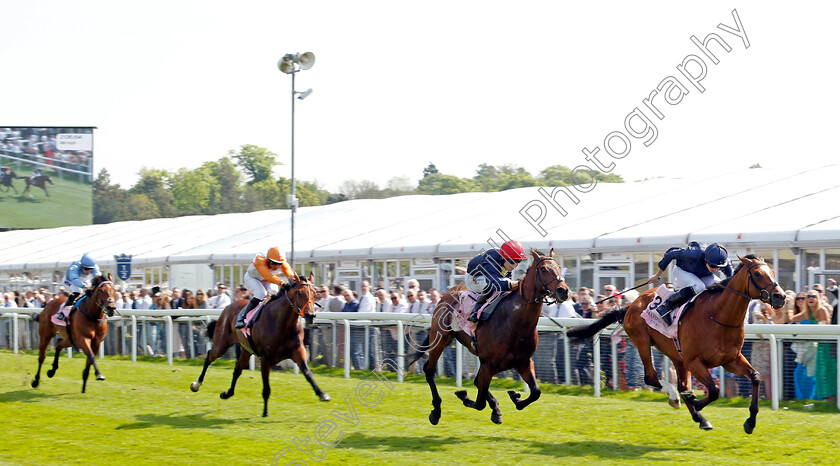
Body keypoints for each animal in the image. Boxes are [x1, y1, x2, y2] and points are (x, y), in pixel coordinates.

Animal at [190, 272, 332, 416]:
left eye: (314, 292)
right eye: (298, 292)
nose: (310, 316)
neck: (282, 323)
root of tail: (228, 307)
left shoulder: (298, 350)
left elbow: (308, 373)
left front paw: (322, 394)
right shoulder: (265, 358)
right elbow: (266, 387)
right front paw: (265, 412)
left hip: (246, 350)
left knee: (237, 369)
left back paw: (227, 393)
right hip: (222, 344)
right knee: (209, 356)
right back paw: (196, 384)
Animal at [408, 249, 572, 424]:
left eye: (559, 267)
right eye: (543, 269)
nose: (563, 290)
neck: (515, 321)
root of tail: (446, 294)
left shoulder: (523, 362)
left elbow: (536, 392)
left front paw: (515, 397)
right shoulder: (489, 363)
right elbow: (479, 403)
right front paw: (464, 395)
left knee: (475, 380)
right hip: (440, 339)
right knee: (429, 371)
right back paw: (436, 411)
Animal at [568, 255, 784, 434]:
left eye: (773, 272)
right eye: (757, 273)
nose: (780, 296)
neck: (718, 316)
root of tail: (631, 304)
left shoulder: (730, 360)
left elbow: (755, 377)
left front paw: (750, 422)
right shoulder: (695, 362)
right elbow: (714, 390)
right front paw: (696, 402)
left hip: (677, 356)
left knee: (681, 385)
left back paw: (700, 417)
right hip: (643, 343)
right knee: (653, 378)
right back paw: (676, 398)